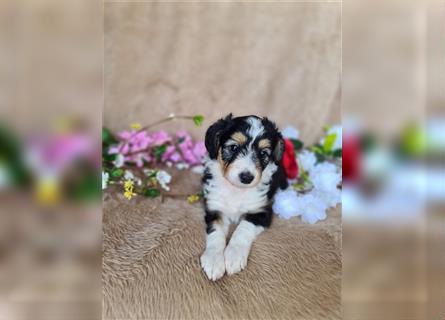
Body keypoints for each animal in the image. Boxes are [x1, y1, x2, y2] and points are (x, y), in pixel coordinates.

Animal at [199, 114, 286, 280]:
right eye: (233, 148)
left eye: (263, 154)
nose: (247, 177)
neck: (237, 190)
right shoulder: (215, 208)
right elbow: (216, 234)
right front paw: (214, 261)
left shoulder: (261, 212)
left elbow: (243, 229)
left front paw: (234, 256)